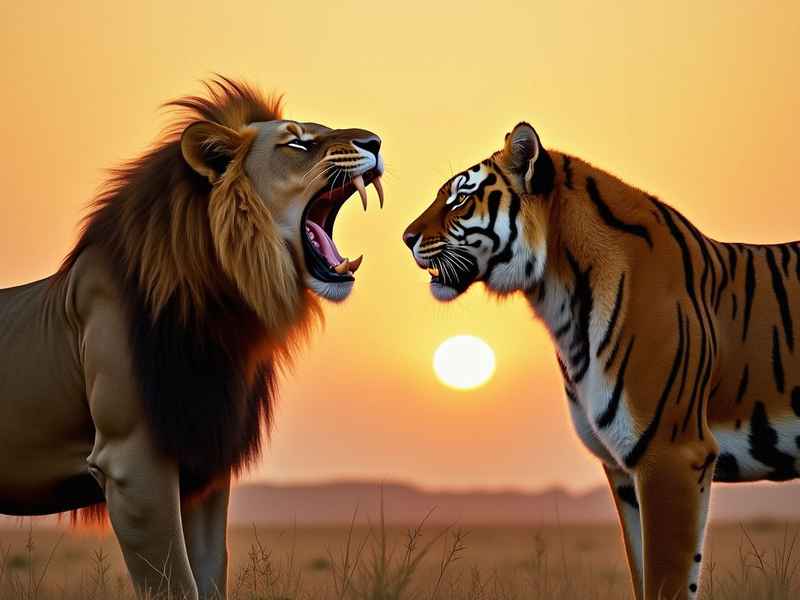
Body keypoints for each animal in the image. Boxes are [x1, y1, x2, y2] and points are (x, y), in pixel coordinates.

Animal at [403, 121, 800, 600]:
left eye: (459, 198)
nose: (405, 237)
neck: (560, 297)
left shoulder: (671, 453)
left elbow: (666, 581)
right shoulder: (623, 467)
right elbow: (642, 574)